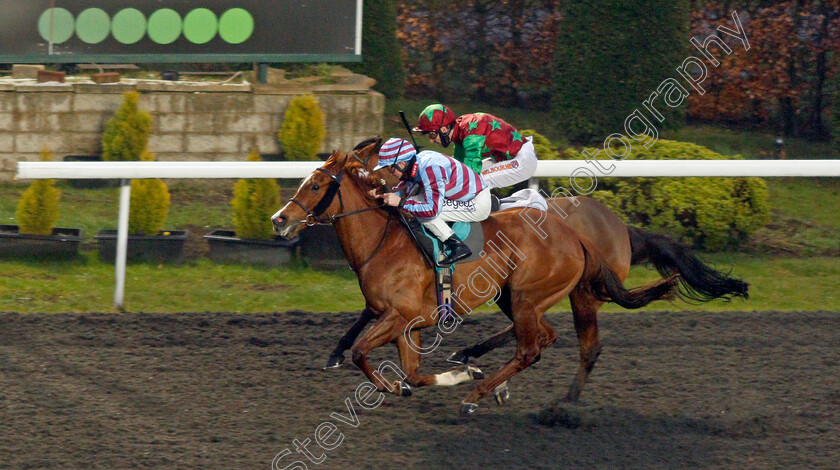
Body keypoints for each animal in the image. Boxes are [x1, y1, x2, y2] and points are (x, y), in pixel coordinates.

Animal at [272, 146, 680, 412]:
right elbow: (412, 374)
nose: (279, 218)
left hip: (535, 295)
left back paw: (487, 396)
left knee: (536, 349)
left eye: (314, 186)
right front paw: (452, 376)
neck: (384, 242)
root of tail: (576, 234)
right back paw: (482, 375)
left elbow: (361, 352)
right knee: (544, 337)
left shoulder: (399, 316)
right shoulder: (407, 323)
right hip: (516, 296)